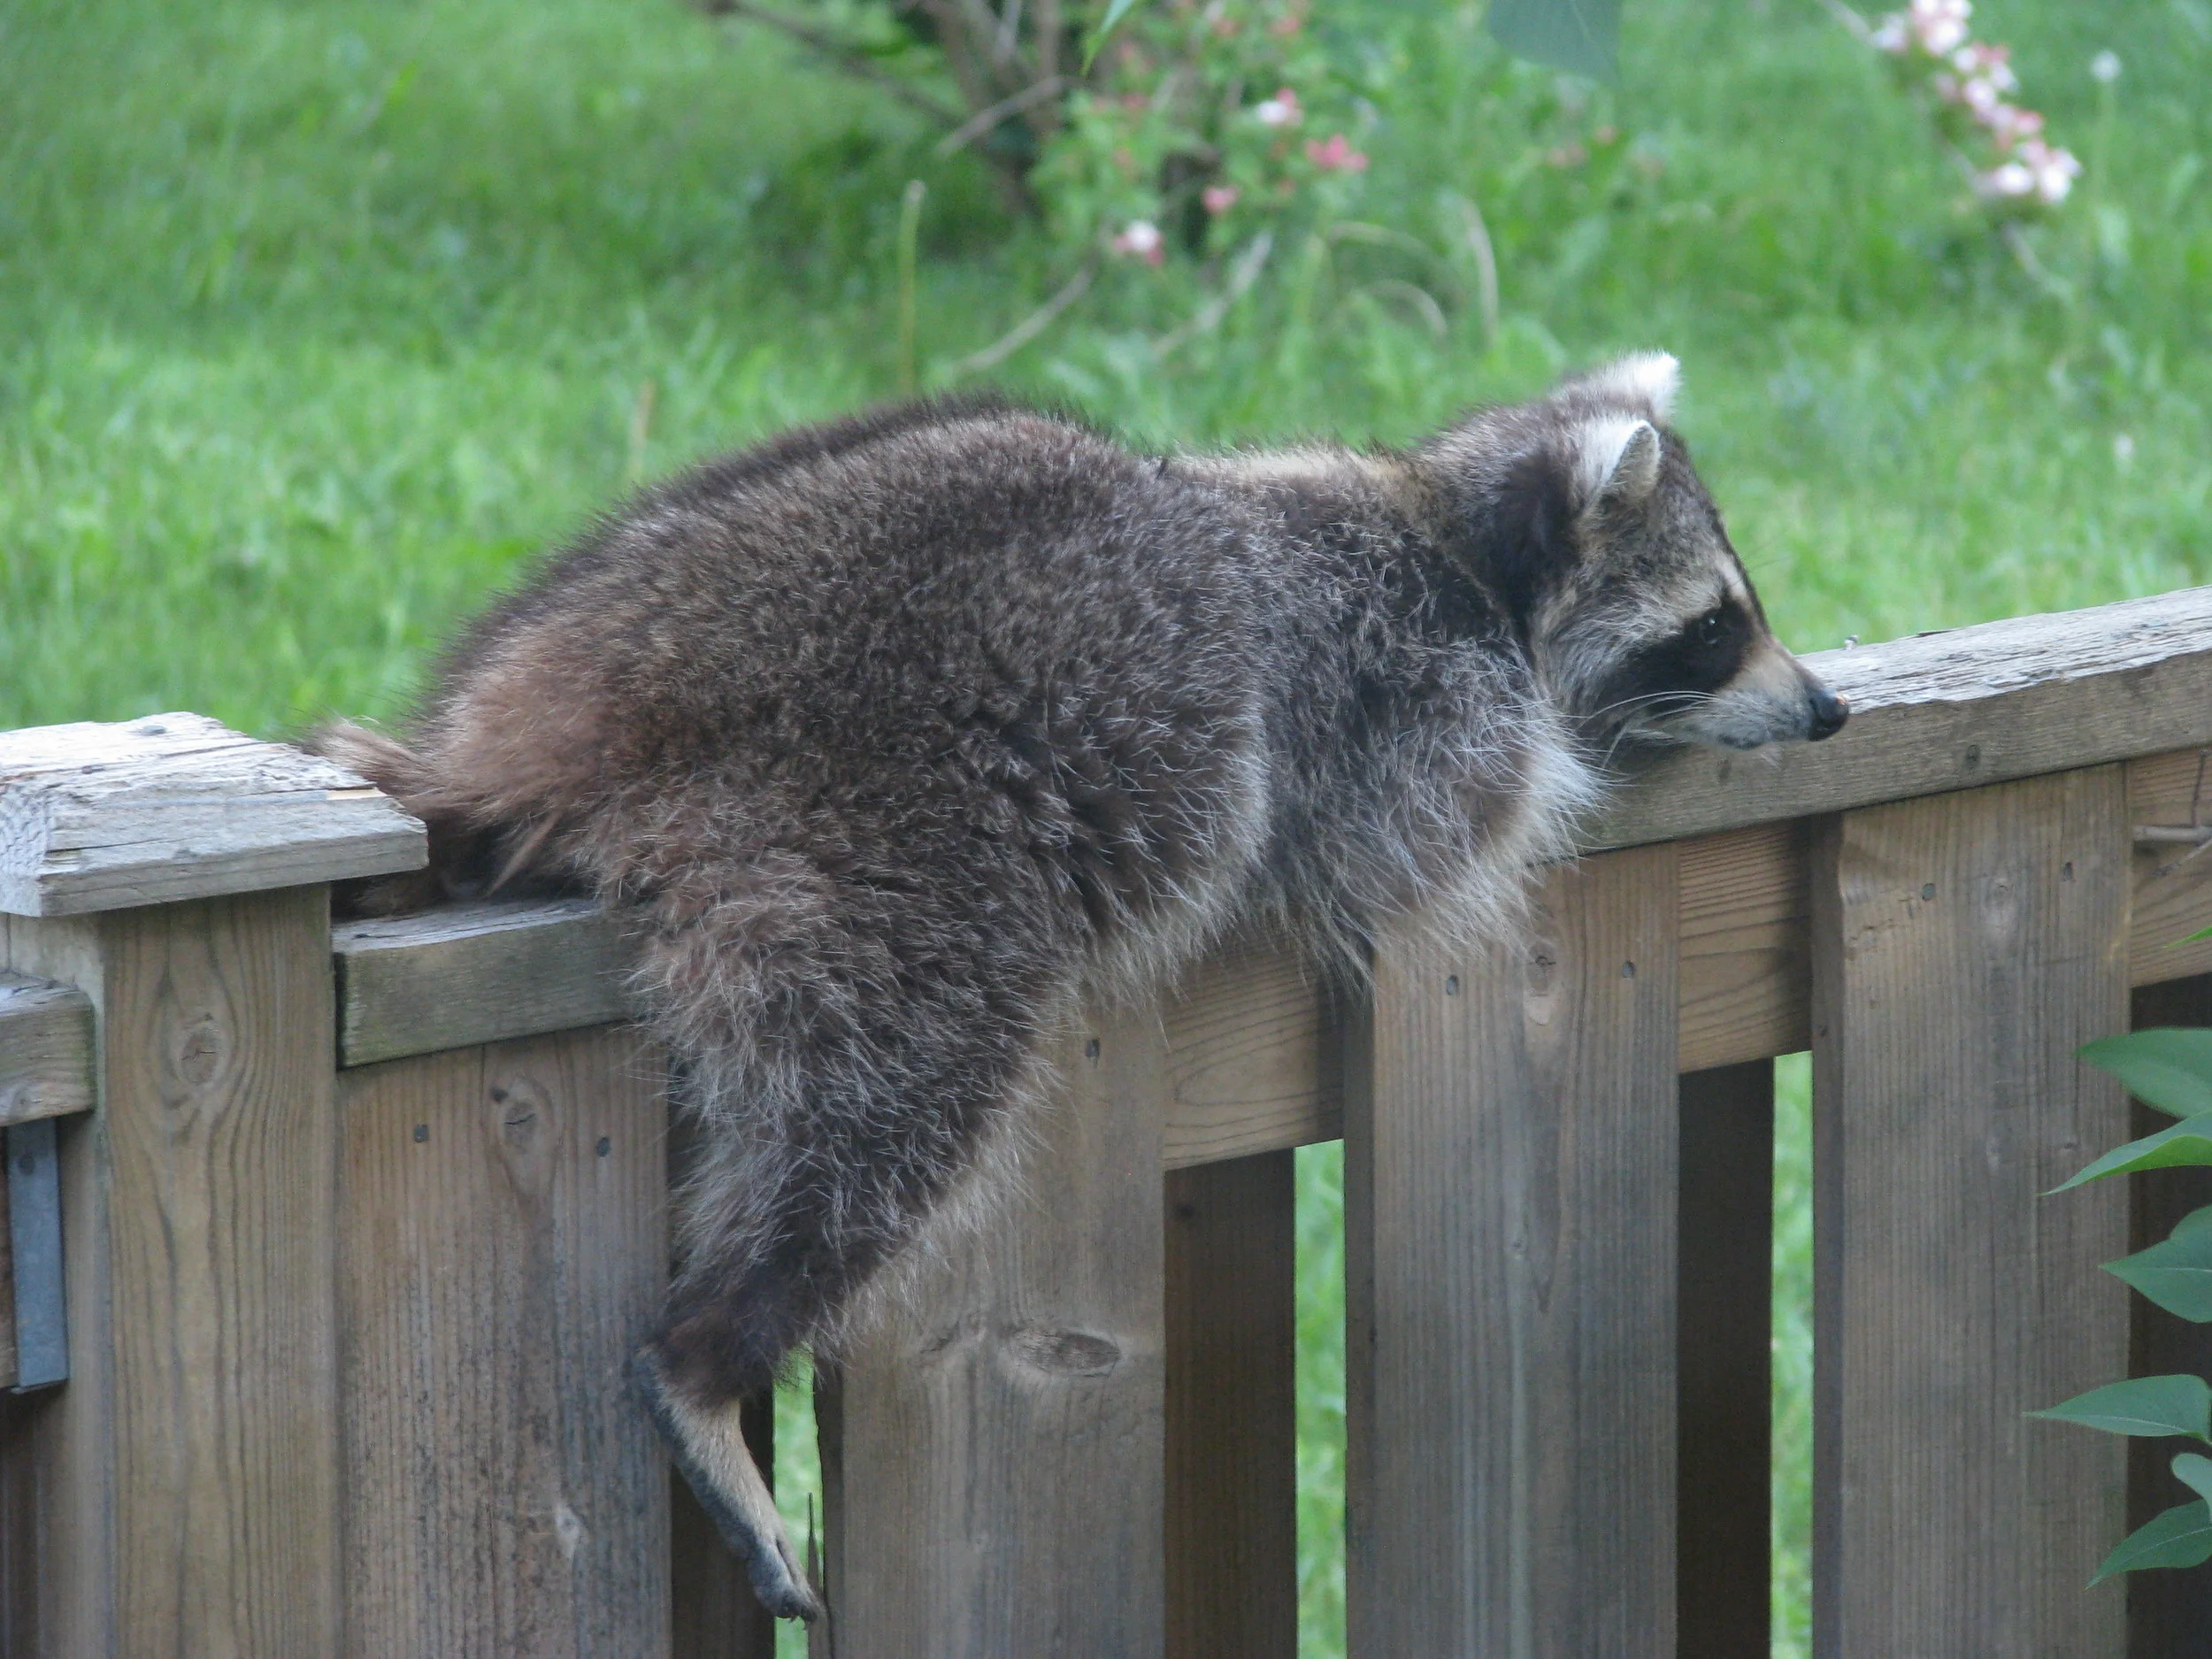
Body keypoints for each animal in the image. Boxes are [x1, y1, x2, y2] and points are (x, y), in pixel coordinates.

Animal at [315, 352, 1845, 1621]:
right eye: (1718, 624)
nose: (1826, 709)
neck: (1455, 539)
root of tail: (577, 701)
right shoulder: (1408, 699)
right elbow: (1408, 844)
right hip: (859, 847)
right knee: (879, 1121)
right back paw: (709, 1354)